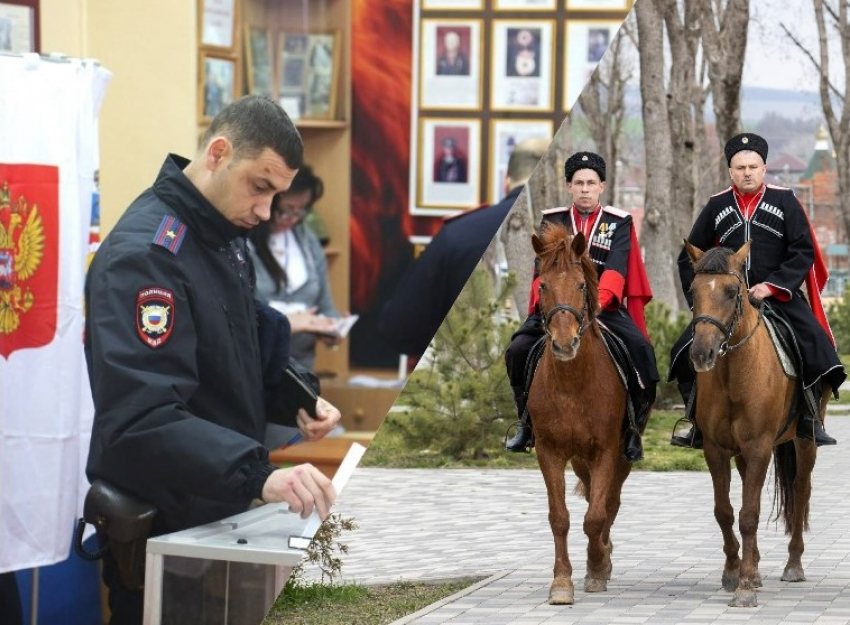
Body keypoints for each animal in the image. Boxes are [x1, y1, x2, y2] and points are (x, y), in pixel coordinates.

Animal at [524, 224, 636, 604]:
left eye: (582, 285)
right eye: (543, 285)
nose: (563, 343)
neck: (572, 384)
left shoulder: (606, 450)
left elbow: (596, 515)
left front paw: (598, 566)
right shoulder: (550, 452)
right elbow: (560, 517)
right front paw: (561, 582)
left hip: (621, 456)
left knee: (610, 503)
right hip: (578, 457)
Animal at [684, 241, 820, 608]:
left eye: (732, 292)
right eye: (693, 290)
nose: (701, 353)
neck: (734, 374)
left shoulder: (760, 446)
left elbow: (749, 515)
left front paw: (744, 586)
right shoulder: (715, 449)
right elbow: (726, 512)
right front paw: (735, 572)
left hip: (805, 442)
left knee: (801, 491)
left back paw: (793, 564)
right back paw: (756, 566)